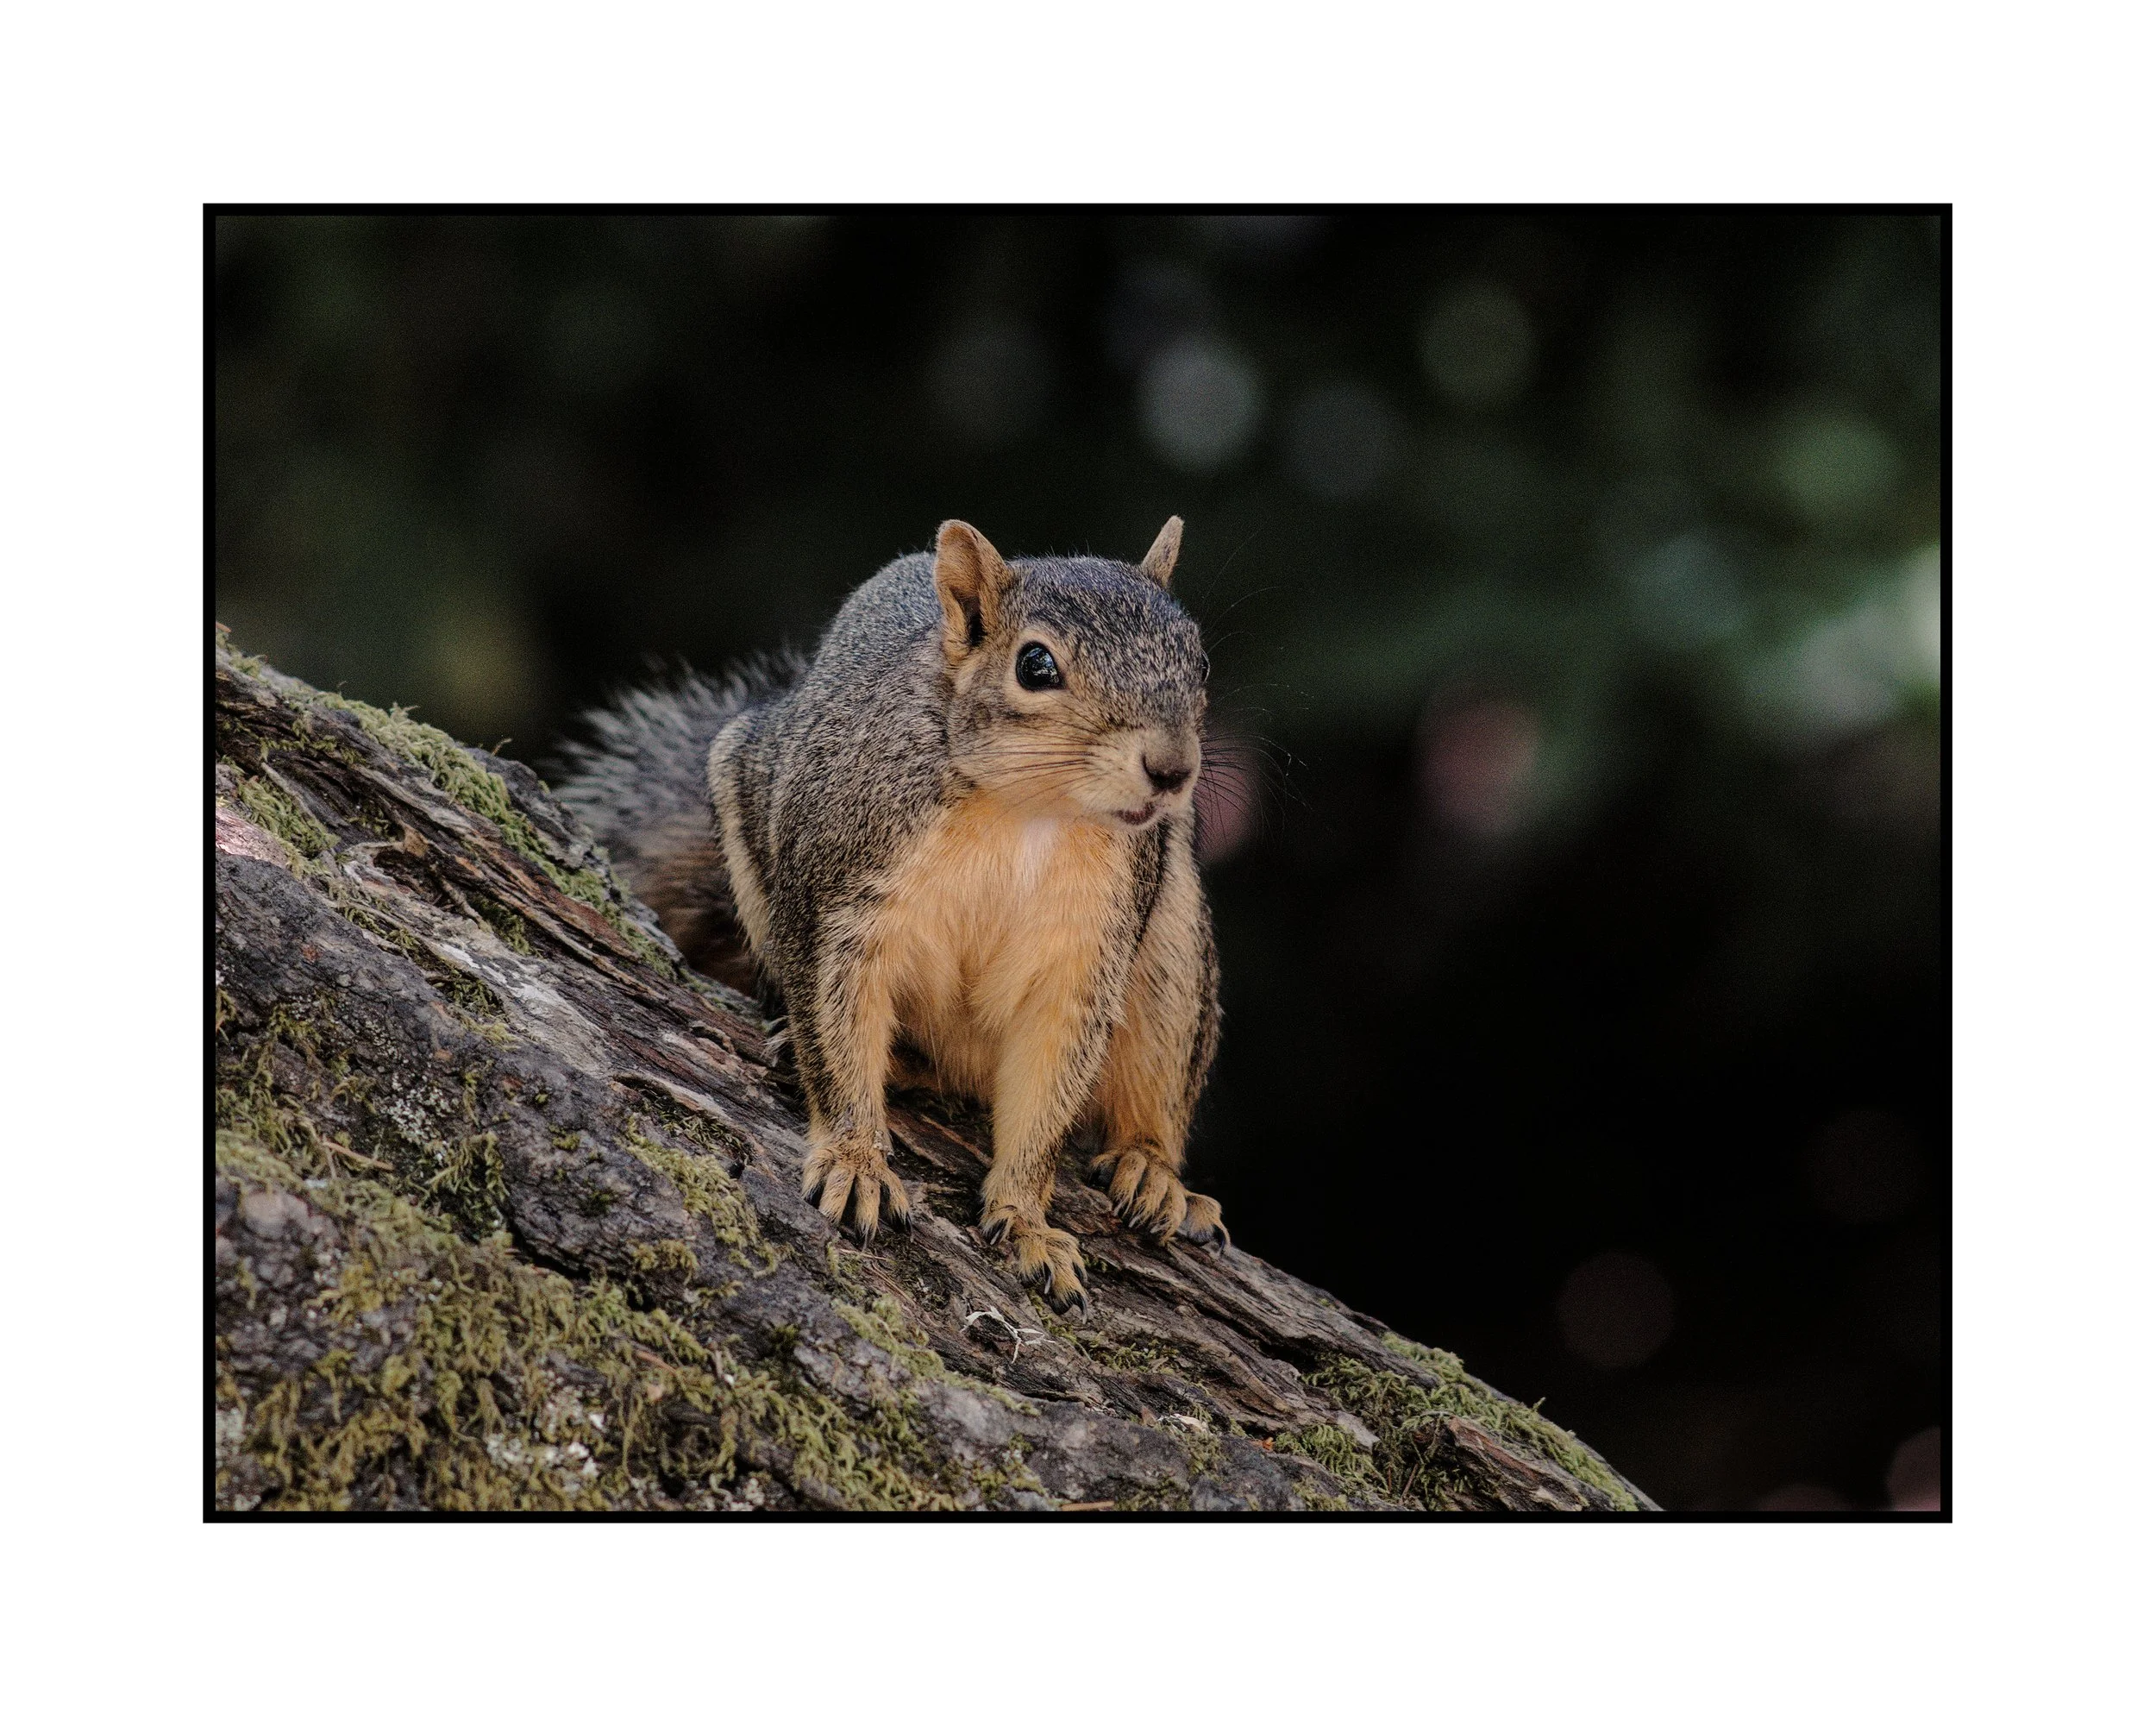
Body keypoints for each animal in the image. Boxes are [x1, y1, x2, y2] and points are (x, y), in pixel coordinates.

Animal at [557, 518, 1224, 1312]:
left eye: (1201, 659)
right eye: (1035, 666)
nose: (1172, 769)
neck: (1028, 810)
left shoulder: (1088, 952)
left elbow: (1049, 1092)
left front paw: (1026, 1220)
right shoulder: (838, 899)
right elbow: (835, 1025)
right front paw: (856, 1160)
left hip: (1173, 939)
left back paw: (1151, 1167)